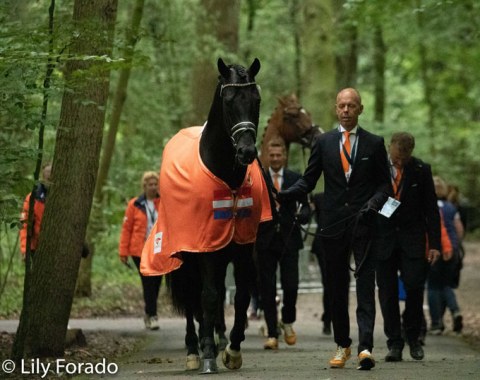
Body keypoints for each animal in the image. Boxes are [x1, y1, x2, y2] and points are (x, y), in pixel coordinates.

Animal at [151, 58, 266, 372]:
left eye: (256, 99)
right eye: (228, 101)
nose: (247, 151)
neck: (227, 177)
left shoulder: (242, 246)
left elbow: (240, 296)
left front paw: (233, 350)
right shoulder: (203, 247)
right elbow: (209, 296)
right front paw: (208, 355)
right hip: (187, 254)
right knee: (193, 297)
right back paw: (194, 349)